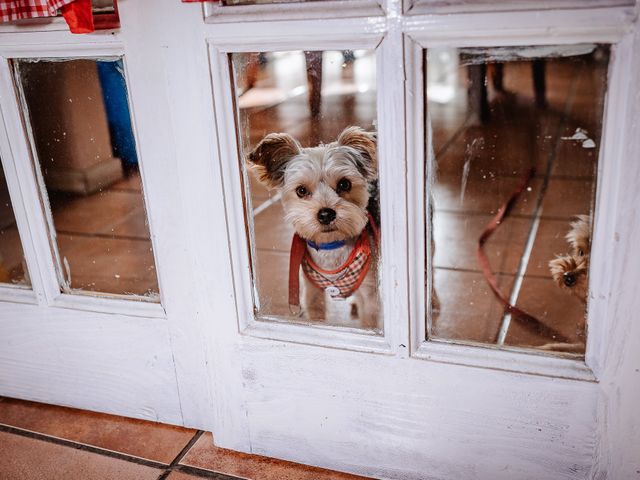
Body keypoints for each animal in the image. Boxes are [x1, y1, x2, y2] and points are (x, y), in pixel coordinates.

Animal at [248, 126, 380, 330]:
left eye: (344, 184)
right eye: (301, 190)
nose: (326, 214)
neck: (331, 246)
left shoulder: (370, 294)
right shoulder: (311, 293)